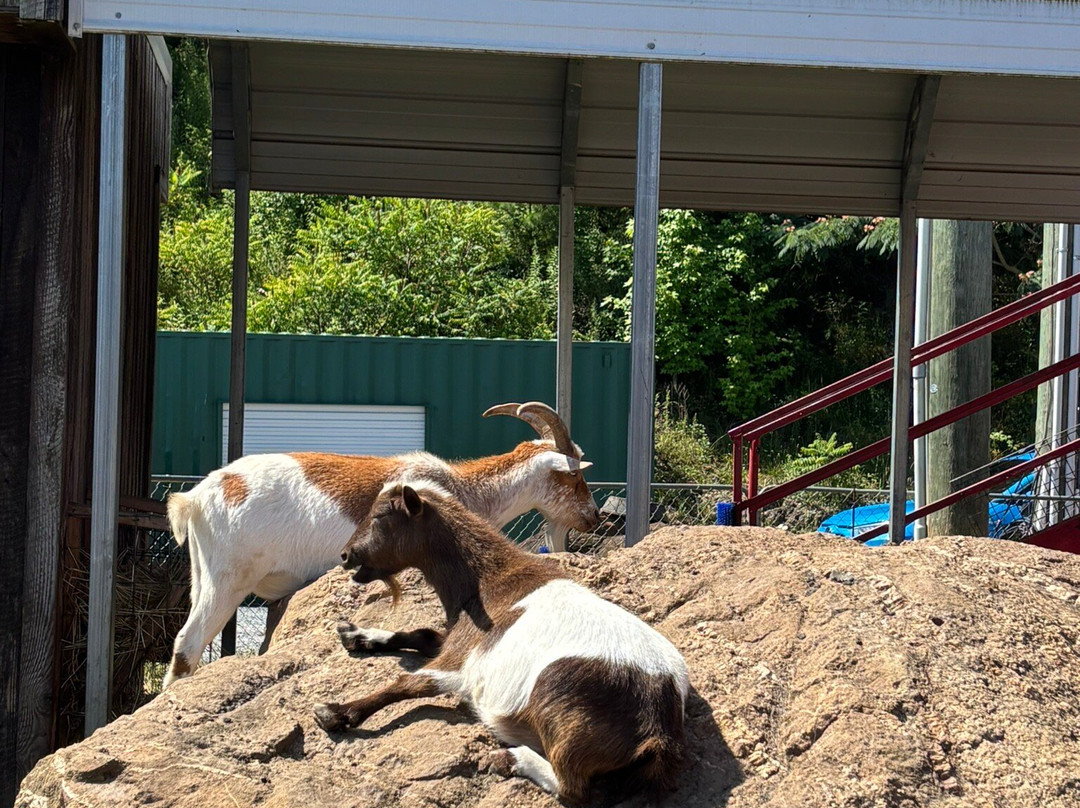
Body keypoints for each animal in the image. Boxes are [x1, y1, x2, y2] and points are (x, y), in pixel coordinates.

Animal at [163, 402, 600, 688]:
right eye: (574, 476)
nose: (593, 516)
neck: (463, 488)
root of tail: (196, 498)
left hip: (202, 575)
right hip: (227, 579)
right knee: (188, 643)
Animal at [315, 482, 688, 805]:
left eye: (381, 515)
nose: (345, 555)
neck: (489, 581)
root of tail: (659, 726)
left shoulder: (461, 662)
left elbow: (410, 682)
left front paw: (336, 712)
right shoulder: (459, 637)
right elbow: (422, 634)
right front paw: (356, 634)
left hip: (559, 706)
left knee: (573, 789)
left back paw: (510, 758)